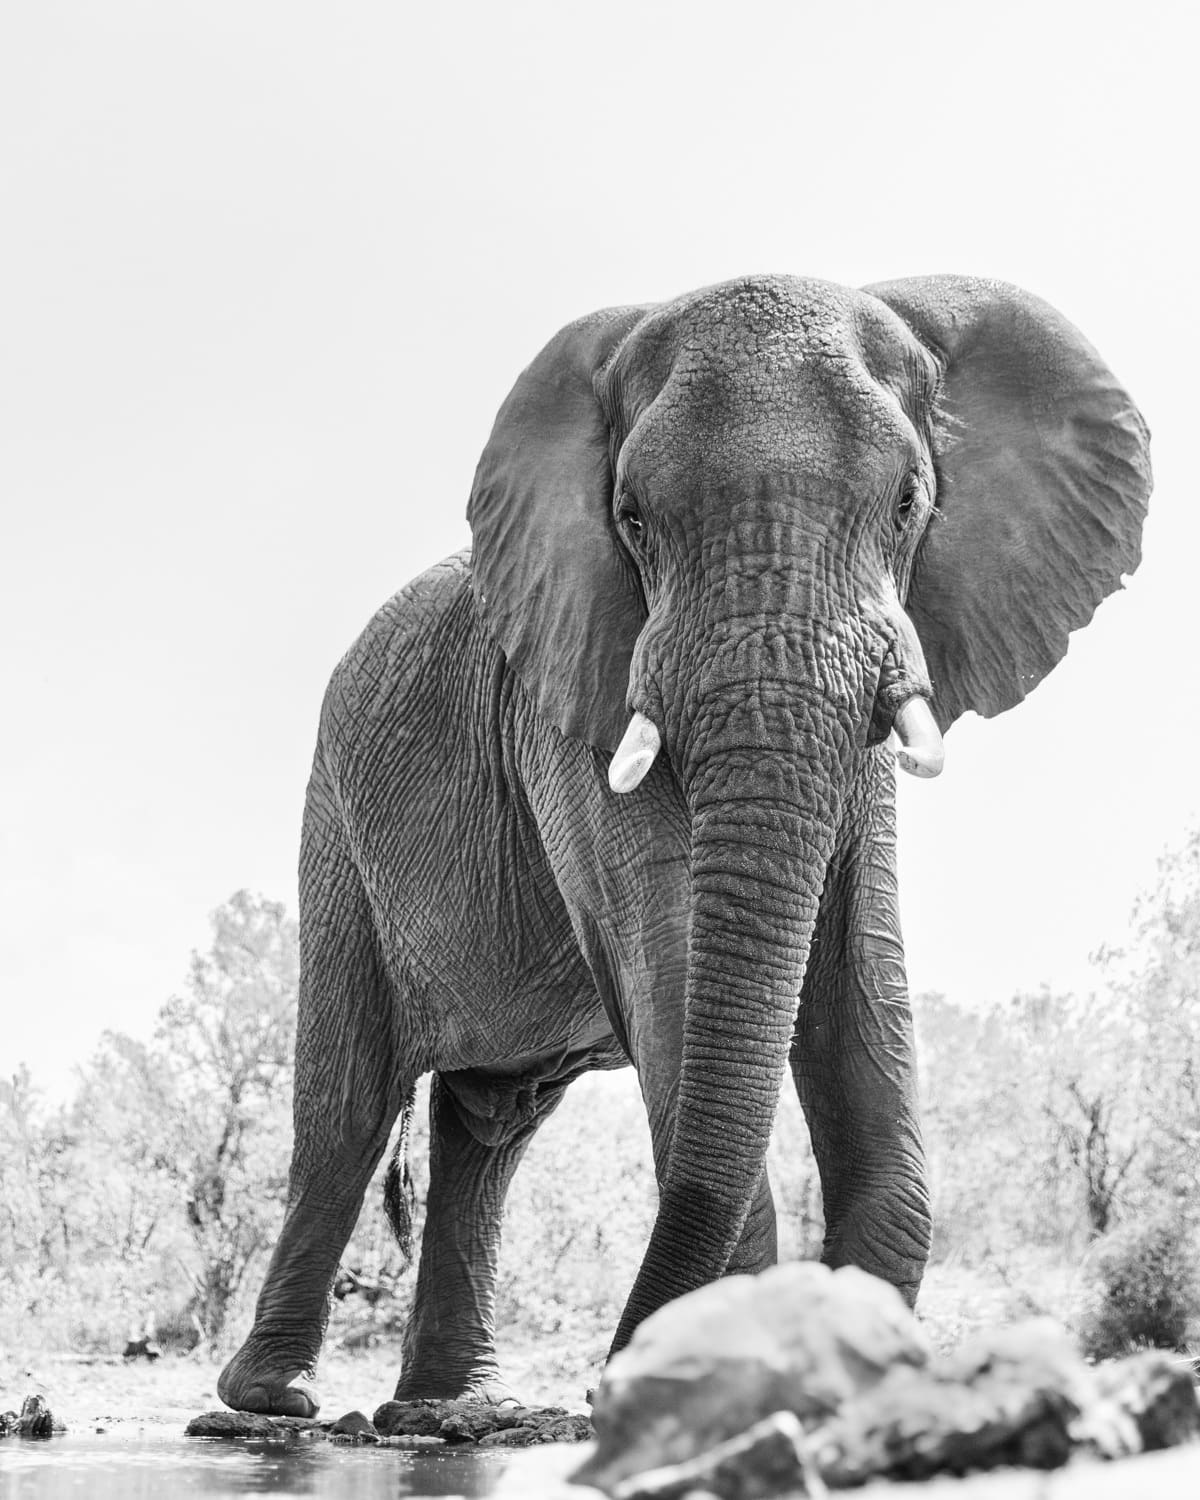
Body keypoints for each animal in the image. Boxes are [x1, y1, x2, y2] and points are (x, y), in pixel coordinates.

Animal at [217, 273, 1152, 1416]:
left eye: (907, 503)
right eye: (631, 518)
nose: (602, 1387)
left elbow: (858, 970)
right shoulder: (573, 693)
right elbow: (674, 961)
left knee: (492, 1123)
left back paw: (448, 1411)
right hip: (334, 821)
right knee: (349, 1113)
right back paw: (272, 1403)